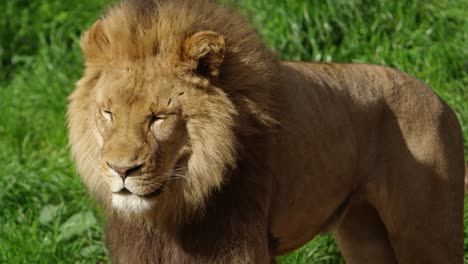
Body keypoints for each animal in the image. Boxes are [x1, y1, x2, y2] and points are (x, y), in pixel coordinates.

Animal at [66, 0, 464, 262]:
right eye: (108, 113)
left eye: (158, 118)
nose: (120, 170)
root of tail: (441, 100)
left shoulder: (241, 245)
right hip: (362, 233)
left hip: (426, 234)